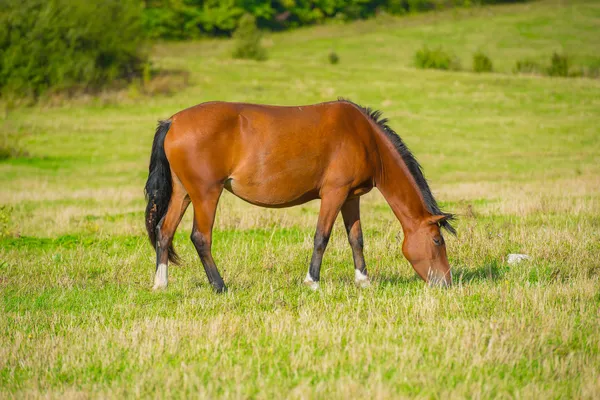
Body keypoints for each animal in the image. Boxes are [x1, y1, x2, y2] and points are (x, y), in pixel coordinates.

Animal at [145, 99, 454, 294]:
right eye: (437, 240)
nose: (447, 283)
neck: (364, 137)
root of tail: (173, 122)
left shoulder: (351, 197)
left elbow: (356, 239)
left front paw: (363, 281)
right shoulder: (334, 194)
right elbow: (322, 237)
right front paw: (312, 281)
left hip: (183, 193)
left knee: (164, 231)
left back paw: (161, 284)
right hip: (206, 193)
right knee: (200, 237)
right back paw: (219, 286)